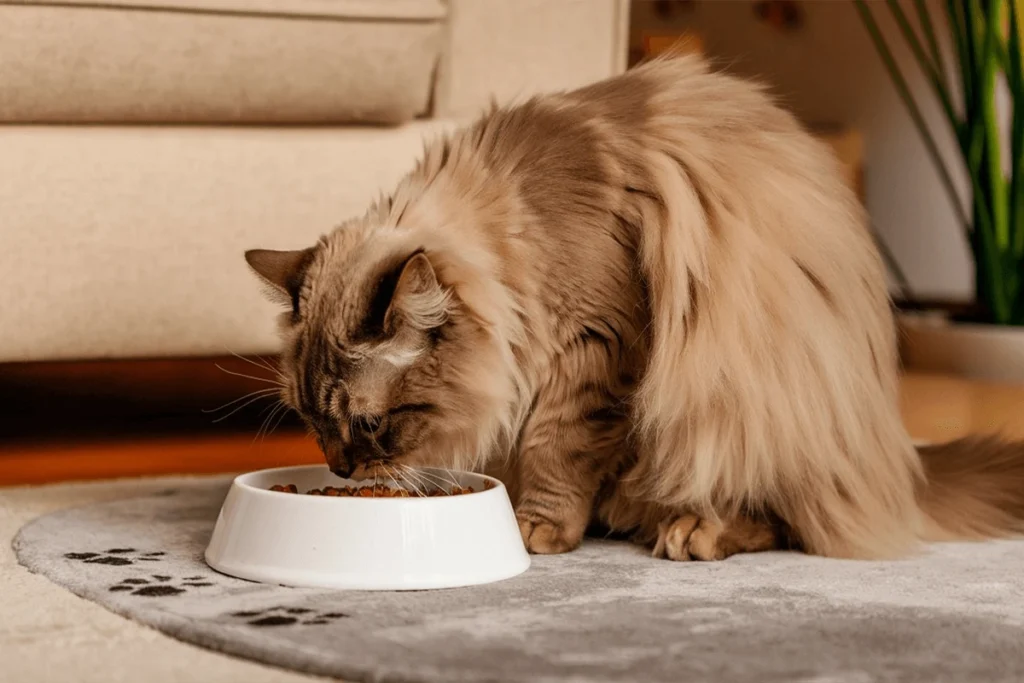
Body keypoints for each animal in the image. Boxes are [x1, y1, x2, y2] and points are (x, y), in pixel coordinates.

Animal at [241, 56, 1024, 561]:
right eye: (312, 423)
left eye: (370, 424)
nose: (342, 472)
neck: (516, 234)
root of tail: (898, 458)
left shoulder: (596, 347)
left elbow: (554, 446)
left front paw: (536, 530)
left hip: (739, 407)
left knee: (789, 521)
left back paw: (692, 532)